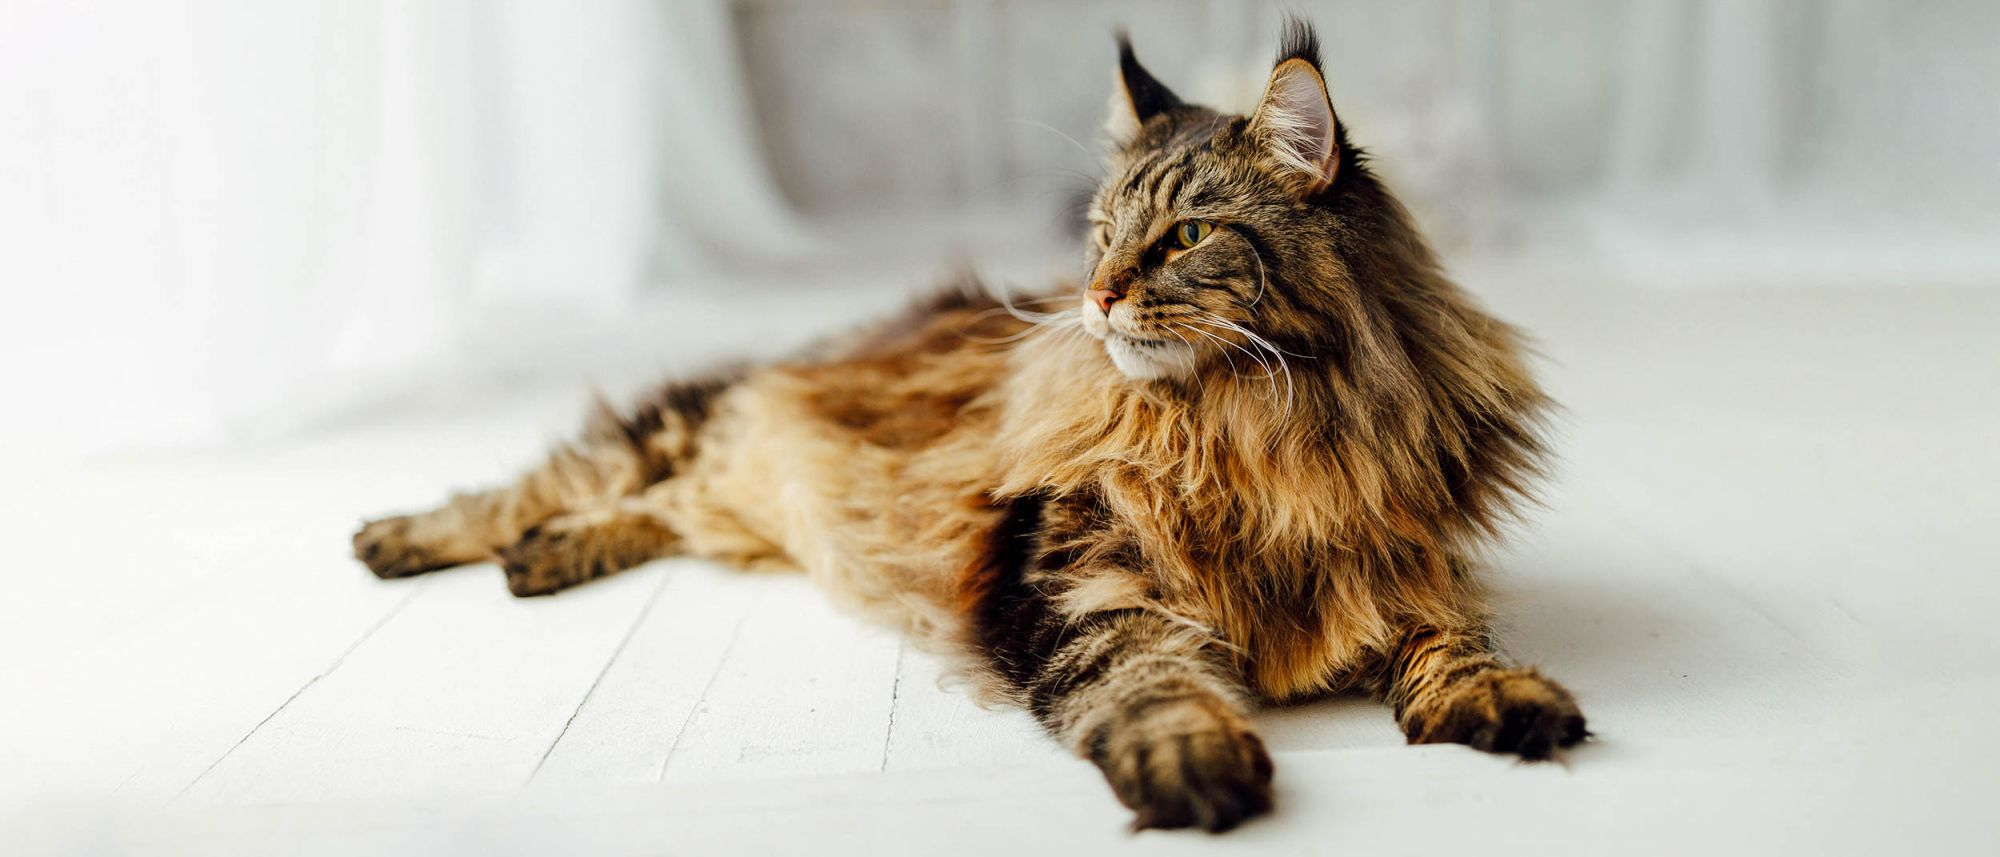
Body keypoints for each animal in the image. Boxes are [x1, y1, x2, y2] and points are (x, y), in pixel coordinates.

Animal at [352, 20, 1584, 832]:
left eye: (1185, 237)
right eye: (1100, 232)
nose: (1095, 294)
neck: (1255, 430)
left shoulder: (1392, 563)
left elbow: (1452, 643)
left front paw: (1502, 698)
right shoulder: (1071, 576)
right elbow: (1144, 679)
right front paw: (1192, 760)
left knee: (655, 510)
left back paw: (543, 558)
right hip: (686, 422)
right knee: (540, 485)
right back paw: (404, 537)